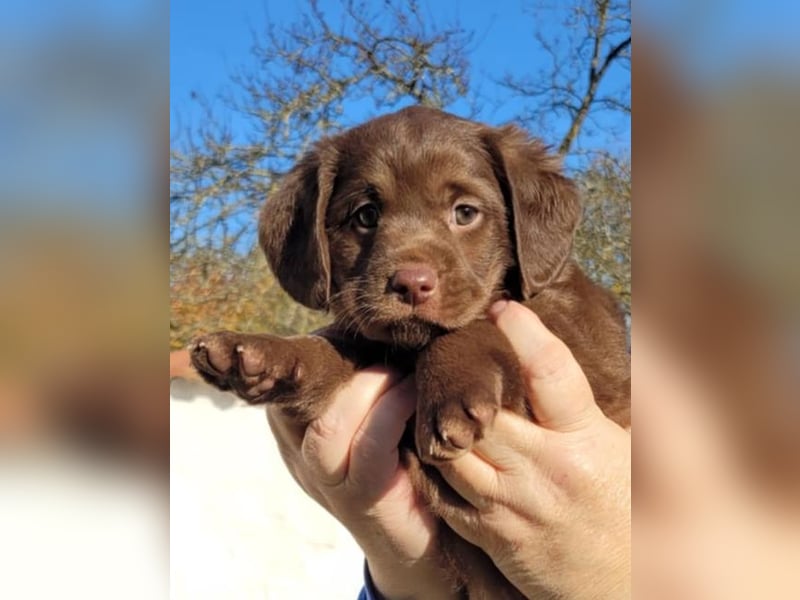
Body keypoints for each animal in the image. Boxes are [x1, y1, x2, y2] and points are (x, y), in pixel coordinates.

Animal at [191, 108, 628, 600]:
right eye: (365, 215)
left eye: (465, 213)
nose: (412, 283)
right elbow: (333, 345)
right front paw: (260, 353)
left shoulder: (583, 345)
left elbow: (478, 320)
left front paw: (451, 393)